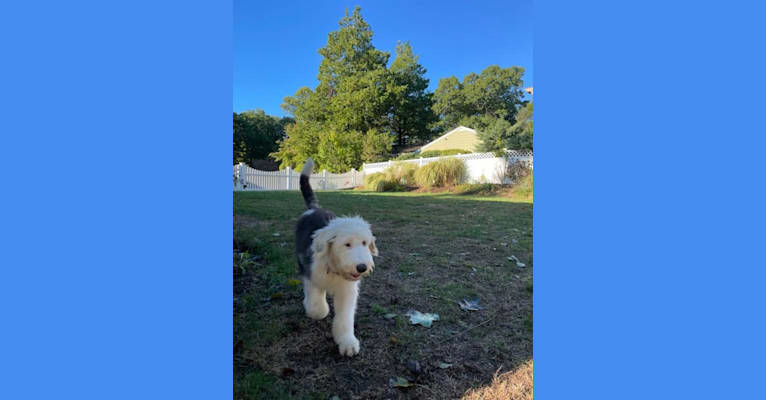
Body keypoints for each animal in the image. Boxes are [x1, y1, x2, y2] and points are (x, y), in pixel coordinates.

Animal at [294, 157, 378, 356]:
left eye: (365, 243)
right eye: (346, 244)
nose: (362, 267)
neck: (334, 269)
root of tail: (314, 209)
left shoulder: (348, 291)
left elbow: (345, 317)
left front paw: (347, 342)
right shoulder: (311, 275)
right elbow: (317, 308)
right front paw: (317, 308)